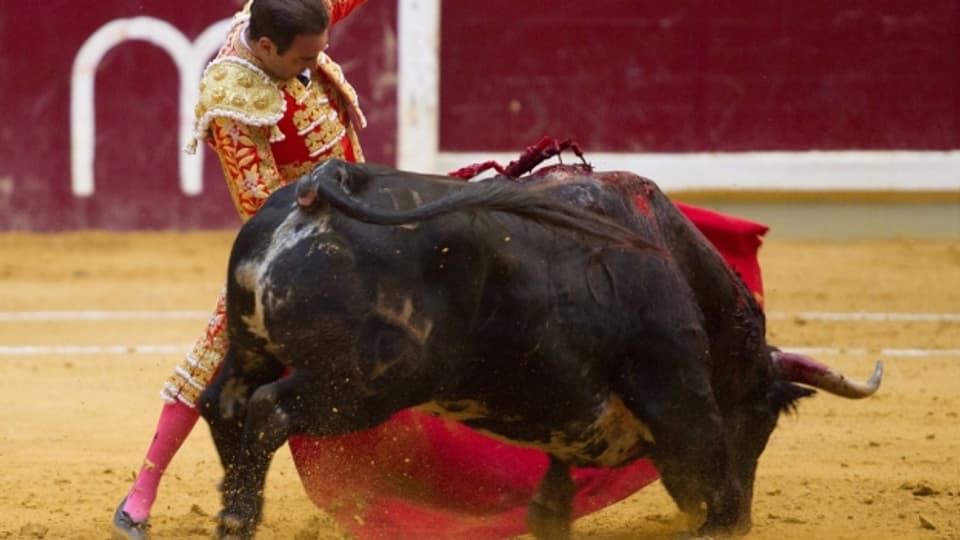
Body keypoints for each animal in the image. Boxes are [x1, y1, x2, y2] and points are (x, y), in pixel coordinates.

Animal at [199, 158, 880, 536]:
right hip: (365, 381)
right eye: (764, 420)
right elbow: (716, 474)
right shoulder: (680, 392)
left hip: (255, 347)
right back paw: (238, 516)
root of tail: (321, 186)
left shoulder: (565, 411)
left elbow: (552, 499)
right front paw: (722, 525)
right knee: (269, 410)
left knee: (222, 404)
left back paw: (233, 514)